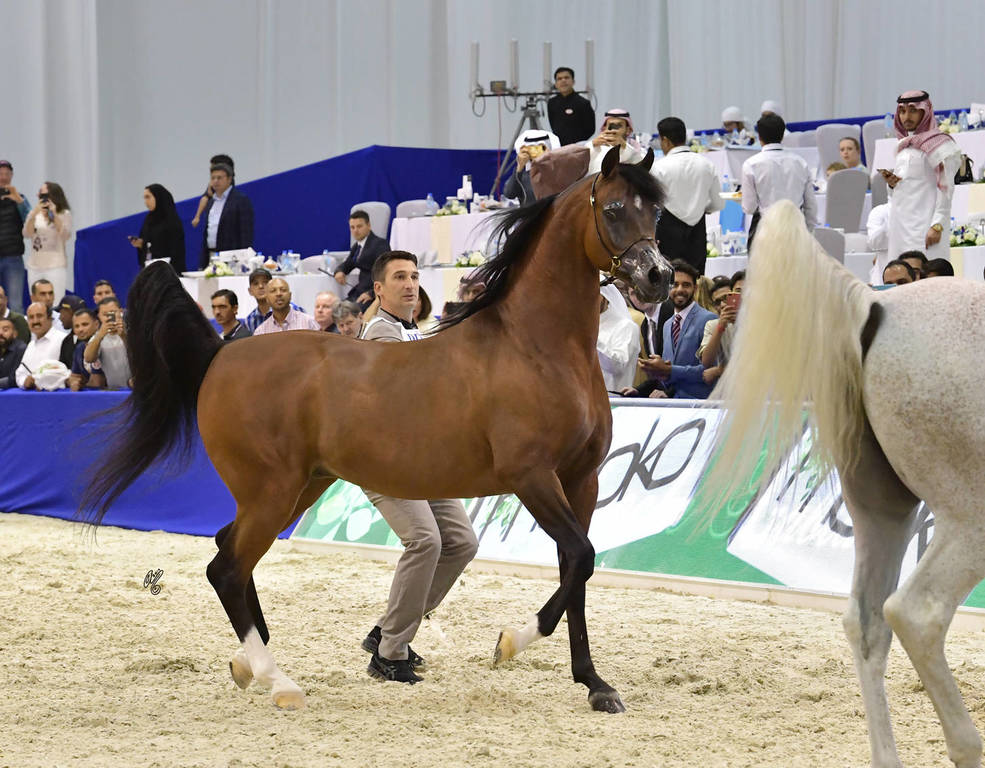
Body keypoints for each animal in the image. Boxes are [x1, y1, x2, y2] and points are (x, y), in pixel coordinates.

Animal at [82, 146, 673, 714]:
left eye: (658, 211)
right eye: (614, 209)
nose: (659, 277)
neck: (536, 347)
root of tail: (221, 354)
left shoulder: (581, 480)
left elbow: (577, 570)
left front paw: (595, 684)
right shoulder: (532, 476)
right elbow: (581, 559)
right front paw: (510, 642)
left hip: (299, 487)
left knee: (231, 552)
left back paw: (248, 664)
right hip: (272, 491)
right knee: (226, 567)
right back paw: (280, 682)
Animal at [703, 200, 985, 768]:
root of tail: (877, 303)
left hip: (884, 511)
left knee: (867, 621)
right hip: (971, 517)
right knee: (917, 614)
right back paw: (967, 746)